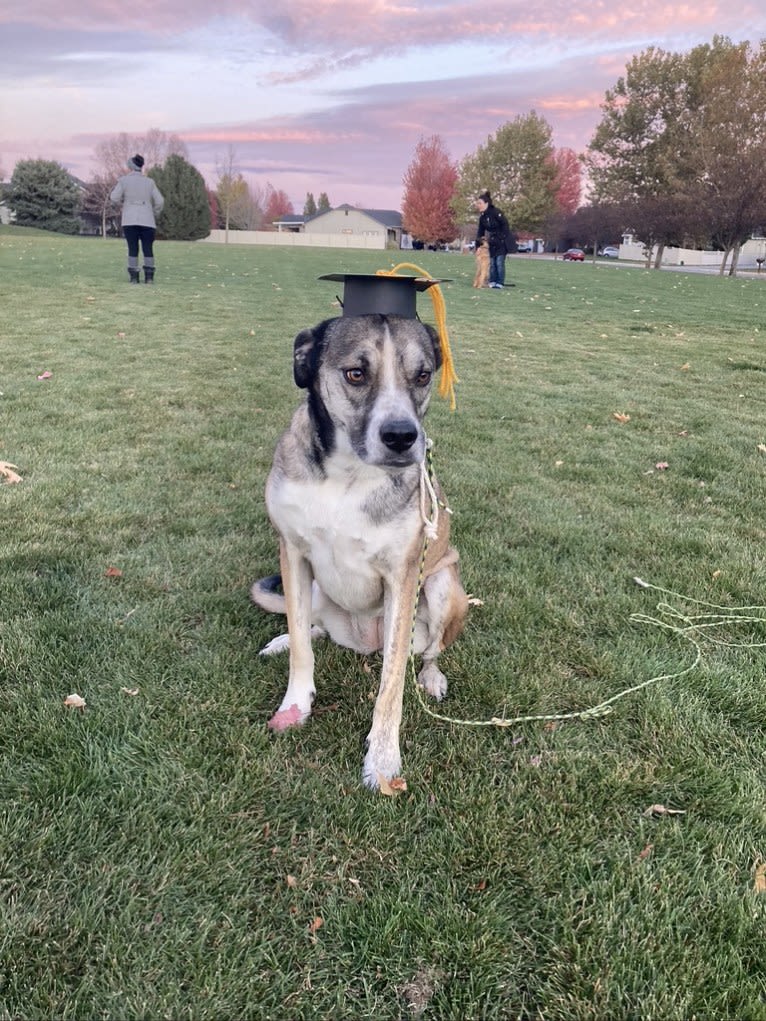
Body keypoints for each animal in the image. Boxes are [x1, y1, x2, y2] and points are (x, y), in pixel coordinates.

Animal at [252, 310, 467, 788]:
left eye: (423, 375)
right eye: (355, 373)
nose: (402, 437)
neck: (347, 475)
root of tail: (361, 642)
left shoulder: (402, 577)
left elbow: (391, 685)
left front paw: (383, 759)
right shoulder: (293, 554)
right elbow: (302, 645)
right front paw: (295, 705)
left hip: (444, 585)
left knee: (428, 651)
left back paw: (432, 677)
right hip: (317, 591)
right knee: (311, 628)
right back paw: (283, 640)